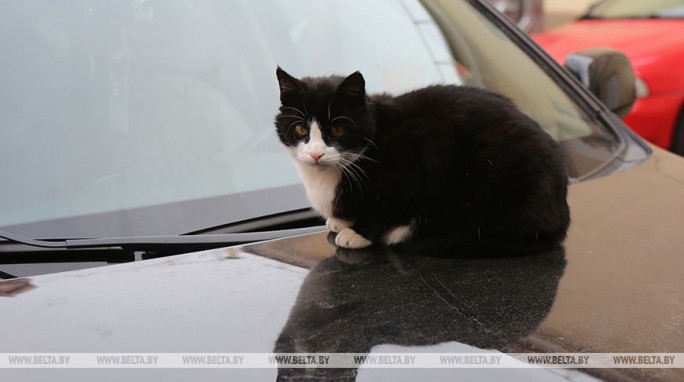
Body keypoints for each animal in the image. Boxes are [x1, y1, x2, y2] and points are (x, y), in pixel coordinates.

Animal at [276, 68, 568, 254]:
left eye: (337, 130)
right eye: (300, 129)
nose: (316, 154)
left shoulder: (418, 156)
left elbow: (384, 206)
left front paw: (358, 232)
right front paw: (342, 222)